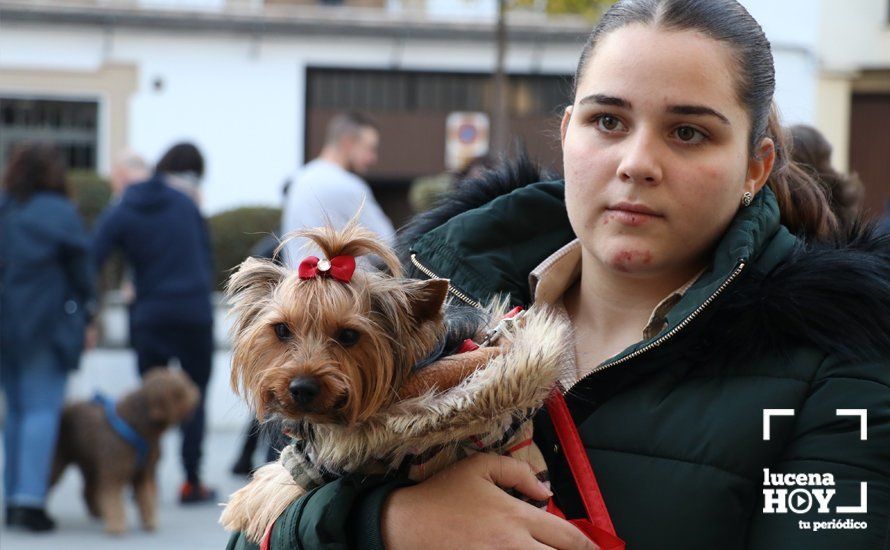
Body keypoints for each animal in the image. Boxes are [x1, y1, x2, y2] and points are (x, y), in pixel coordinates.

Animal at [51, 368, 200, 536]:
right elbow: (114, 499)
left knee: (87, 490)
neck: (136, 425)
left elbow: (147, 497)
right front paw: (116, 527)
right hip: (60, 459)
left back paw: (99, 512)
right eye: (179, 392)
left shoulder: (143, 472)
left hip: (90, 464)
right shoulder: (114, 469)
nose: (197, 393)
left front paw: (150, 522)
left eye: (185, 382)